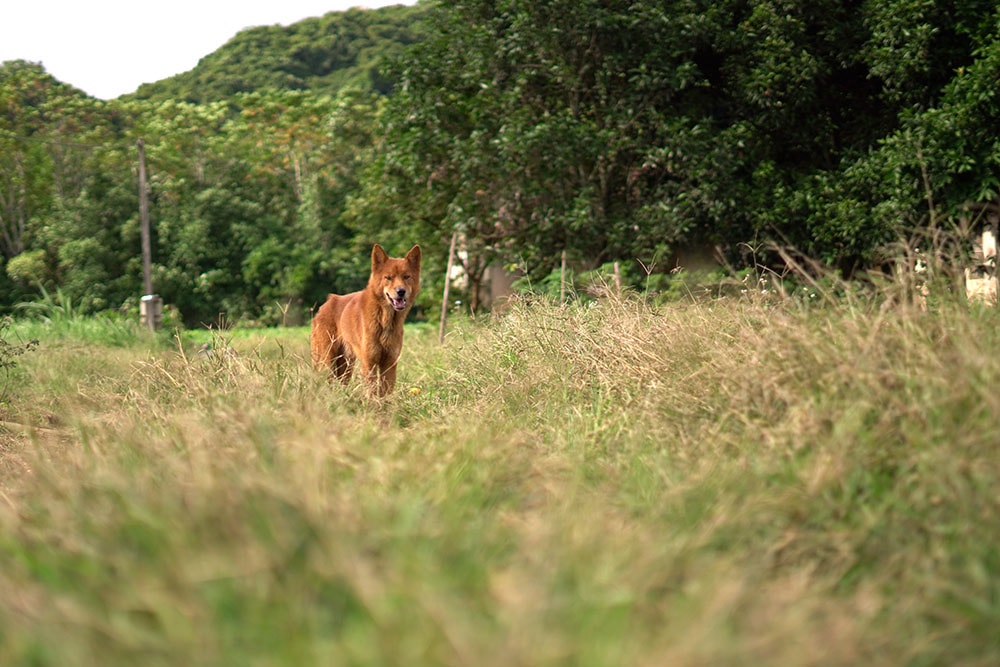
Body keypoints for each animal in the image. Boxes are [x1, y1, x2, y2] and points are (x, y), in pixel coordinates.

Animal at [312, 244, 422, 396]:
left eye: (406, 277)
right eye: (388, 278)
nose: (401, 291)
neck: (384, 321)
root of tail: (328, 302)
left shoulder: (389, 364)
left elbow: (384, 394)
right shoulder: (369, 364)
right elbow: (372, 393)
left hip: (345, 366)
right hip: (326, 361)